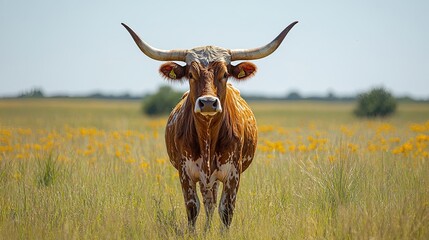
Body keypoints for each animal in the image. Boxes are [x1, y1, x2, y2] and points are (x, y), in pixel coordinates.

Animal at [121, 21, 298, 230]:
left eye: (225, 74)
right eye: (190, 74)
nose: (207, 102)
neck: (207, 135)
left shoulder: (233, 174)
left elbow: (226, 210)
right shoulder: (186, 173)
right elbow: (193, 208)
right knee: (208, 203)